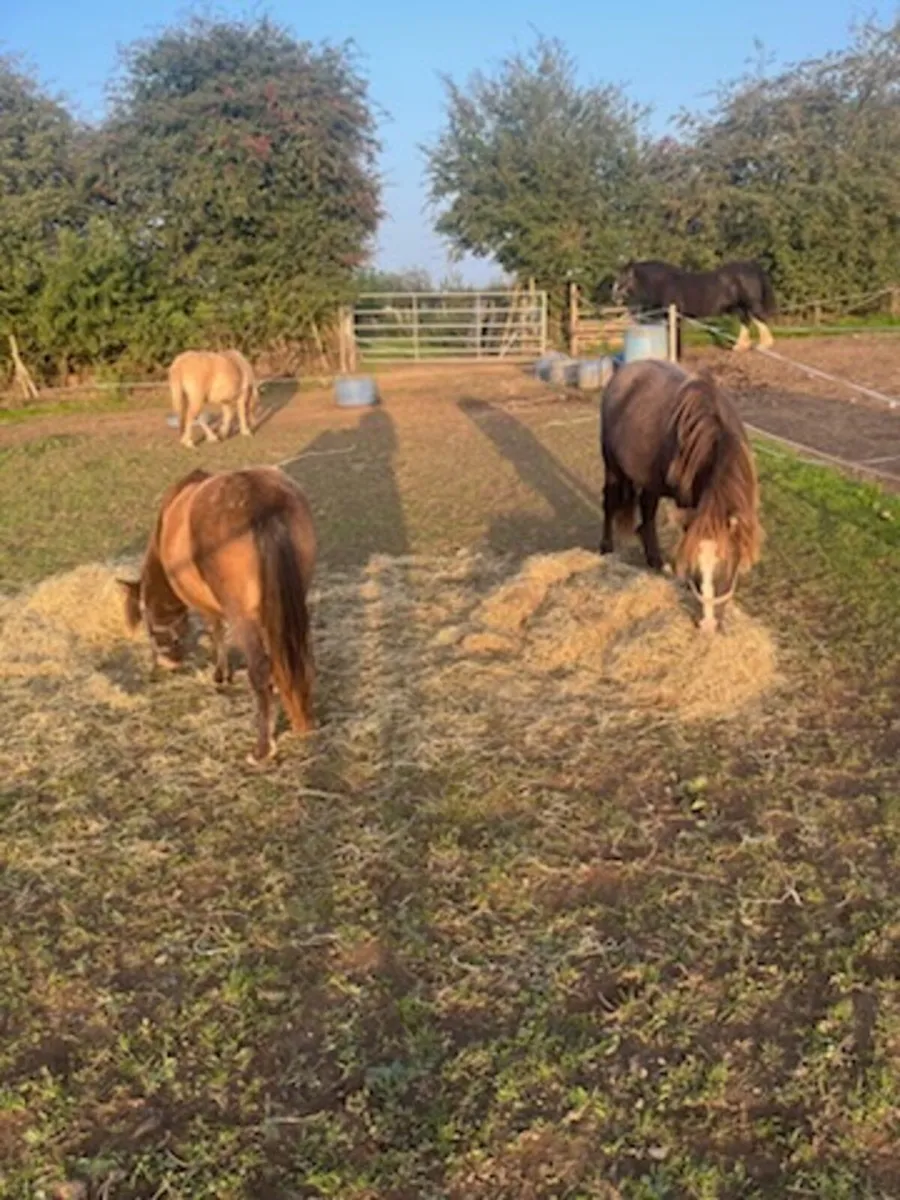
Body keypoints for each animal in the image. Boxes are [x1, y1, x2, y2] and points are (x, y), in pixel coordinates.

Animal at [118, 466, 316, 762]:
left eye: (148, 629)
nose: (167, 664)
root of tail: (259, 501)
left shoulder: (210, 610)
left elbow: (217, 633)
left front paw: (221, 675)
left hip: (243, 616)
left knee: (259, 668)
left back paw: (261, 748)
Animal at [599, 359, 762, 633]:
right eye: (695, 569)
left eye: (728, 565)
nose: (707, 625)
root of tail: (622, 371)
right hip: (612, 467)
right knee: (610, 504)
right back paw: (606, 548)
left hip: (650, 480)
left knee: (647, 511)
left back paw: (655, 560)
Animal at [612, 259, 776, 352]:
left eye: (625, 276)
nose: (614, 293)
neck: (665, 283)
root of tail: (751, 267)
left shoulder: (675, 316)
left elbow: (675, 336)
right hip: (739, 307)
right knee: (746, 322)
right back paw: (739, 347)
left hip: (751, 304)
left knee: (759, 319)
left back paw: (764, 345)